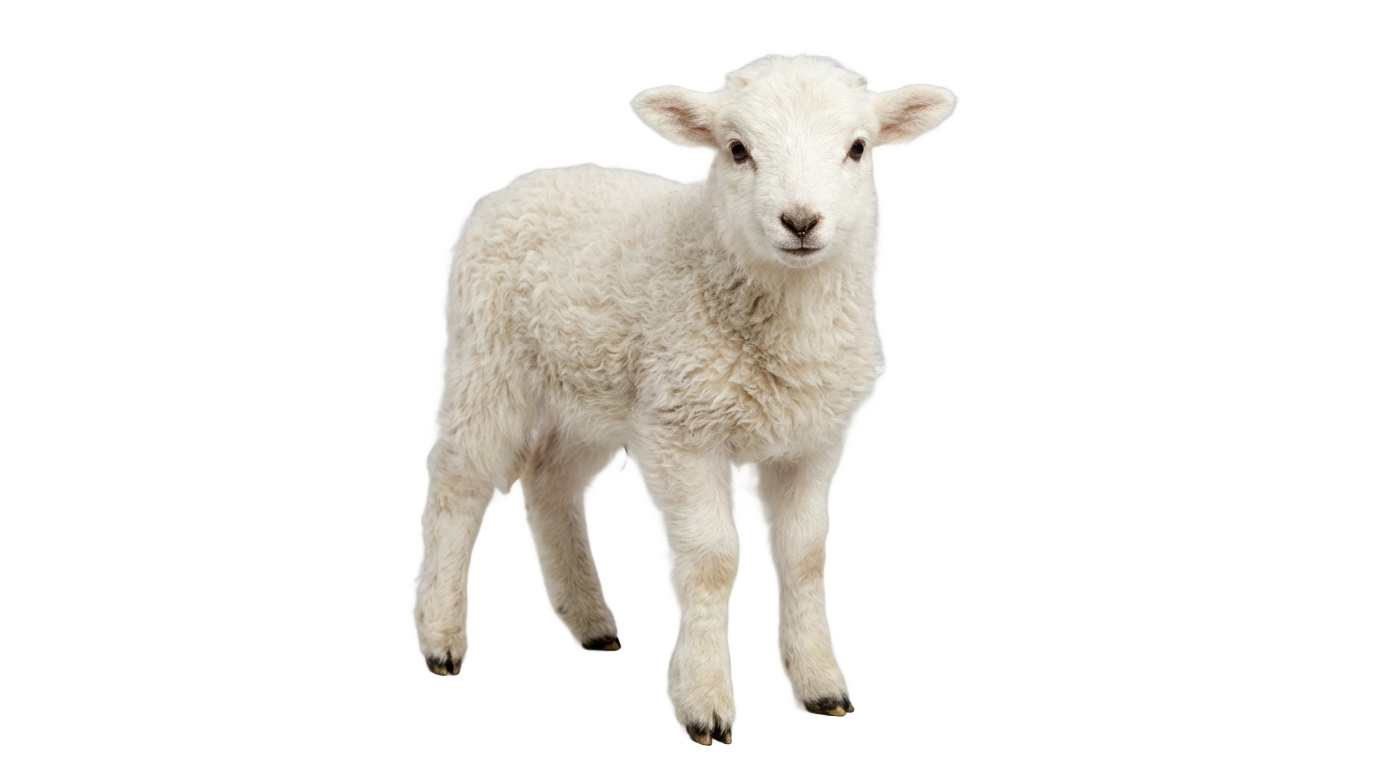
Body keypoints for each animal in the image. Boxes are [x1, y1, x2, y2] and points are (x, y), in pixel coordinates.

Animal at [419, 55, 953, 745]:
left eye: (858, 147)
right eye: (737, 149)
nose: (800, 222)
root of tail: (536, 180)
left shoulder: (809, 442)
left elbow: (805, 558)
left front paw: (821, 686)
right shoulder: (683, 430)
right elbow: (711, 560)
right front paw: (706, 704)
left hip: (593, 393)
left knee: (547, 478)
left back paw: (592, 624)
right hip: (491, 359)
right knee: (458, 483)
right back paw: (441, 636)